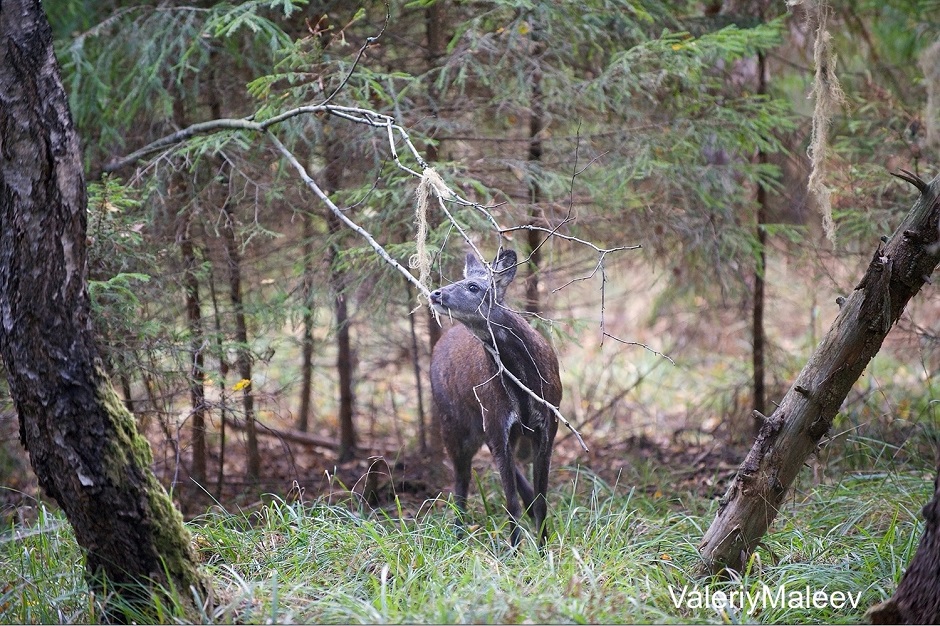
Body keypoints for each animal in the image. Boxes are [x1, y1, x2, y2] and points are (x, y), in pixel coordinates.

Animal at [430, 249, 560, 544]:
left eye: (473, 287)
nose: (435, 294)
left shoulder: (548, 424)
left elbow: (542, 499)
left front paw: (544, 546)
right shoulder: (497, 421)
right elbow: (510, 502)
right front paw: (515, 549)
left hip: (492, 430)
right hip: (454, 423)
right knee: (461, 479)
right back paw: (458, 532)